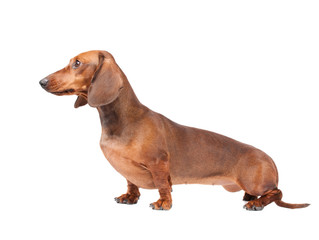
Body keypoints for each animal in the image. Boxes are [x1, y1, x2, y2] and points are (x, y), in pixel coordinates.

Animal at [39, 50, 310, 210]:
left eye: (77, 63)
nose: (41, 81)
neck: (121, 122)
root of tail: (270, 160)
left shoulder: (159, 163)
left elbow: (163, 185)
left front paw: (162, 203)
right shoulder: (126, 170)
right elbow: (131, 183)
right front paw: (130, 198)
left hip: (257, 182)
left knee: (277, 192)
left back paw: (257, 202)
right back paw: (249, 198)